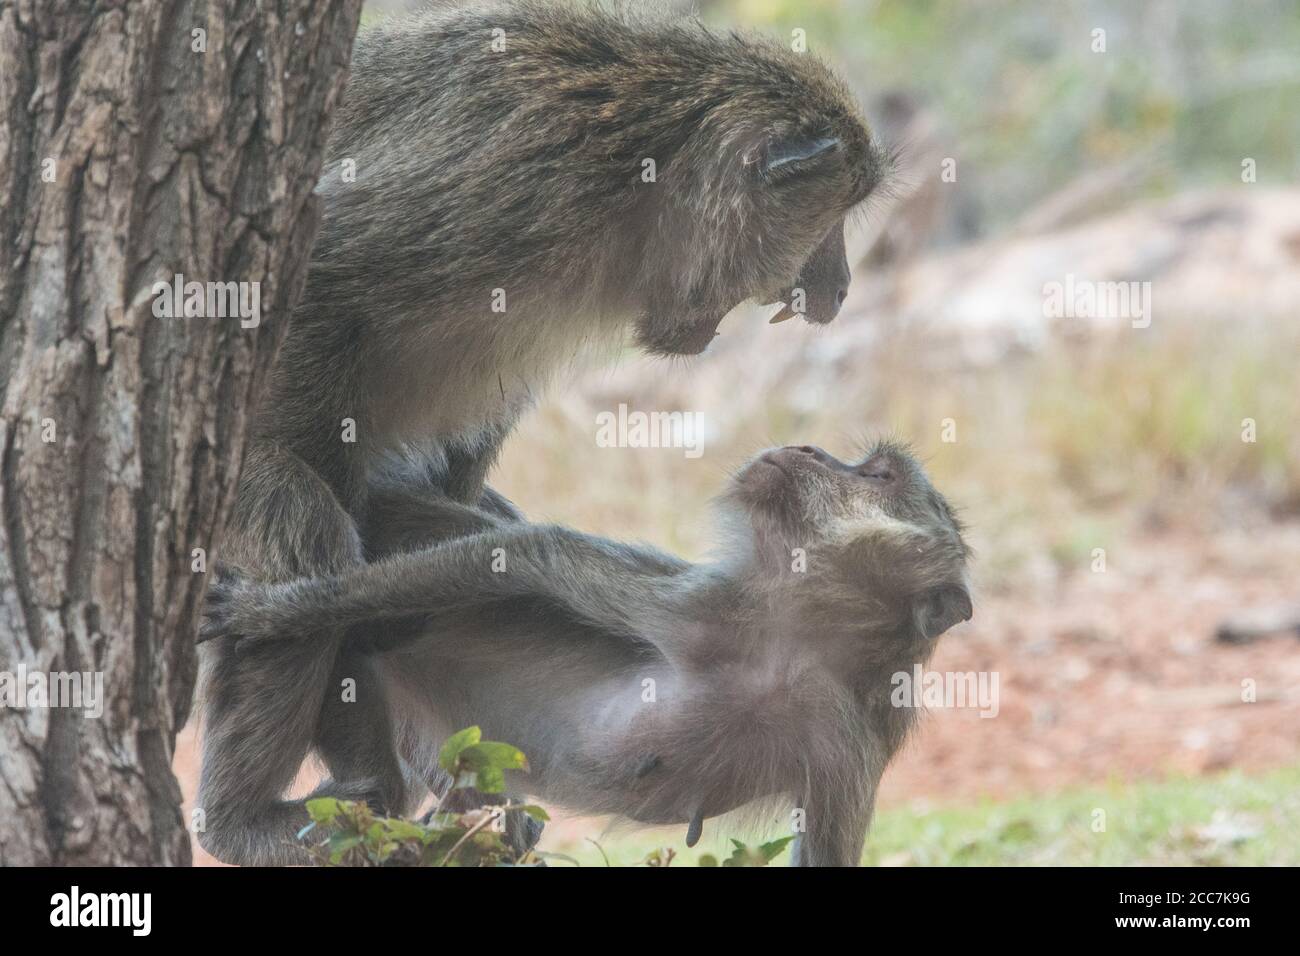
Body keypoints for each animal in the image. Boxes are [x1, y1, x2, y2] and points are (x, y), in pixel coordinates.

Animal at [197, 1, 889, 868]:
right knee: (302, 522)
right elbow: (300, 283)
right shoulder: (513, 186)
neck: (642, 168)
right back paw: (244, 817)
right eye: (832, 219)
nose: (839, 289)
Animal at [205, 442, 977, 868]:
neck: (795, 643)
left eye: (877, 475)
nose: (809, 448)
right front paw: (283, 609)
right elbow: (527, 556)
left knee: (407, 796)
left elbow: (824, 854)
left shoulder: (850, 741)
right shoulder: (700, 610)